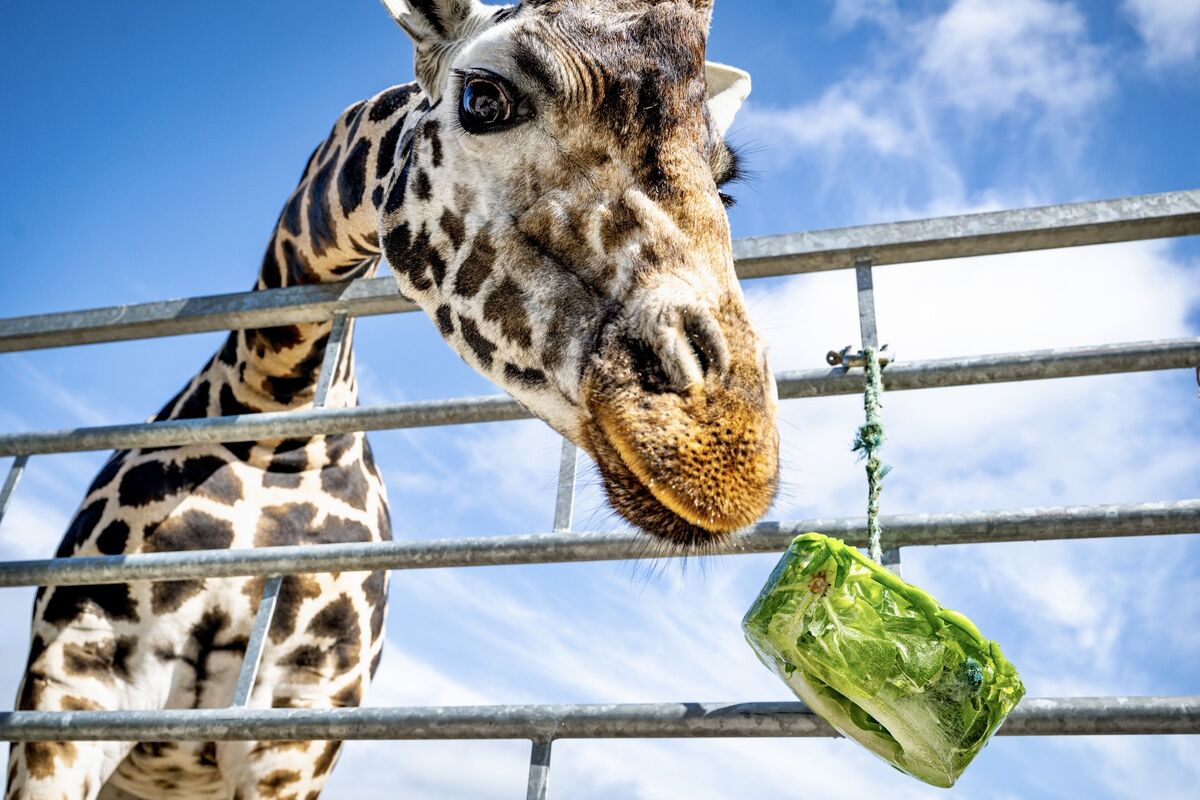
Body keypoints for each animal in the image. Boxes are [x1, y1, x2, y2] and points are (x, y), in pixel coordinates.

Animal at [7, 1, 779, 797]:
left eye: (726, 189)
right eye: (484, 99)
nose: (726, 447)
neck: (275, 410)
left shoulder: (300, 721)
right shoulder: (74, 678)